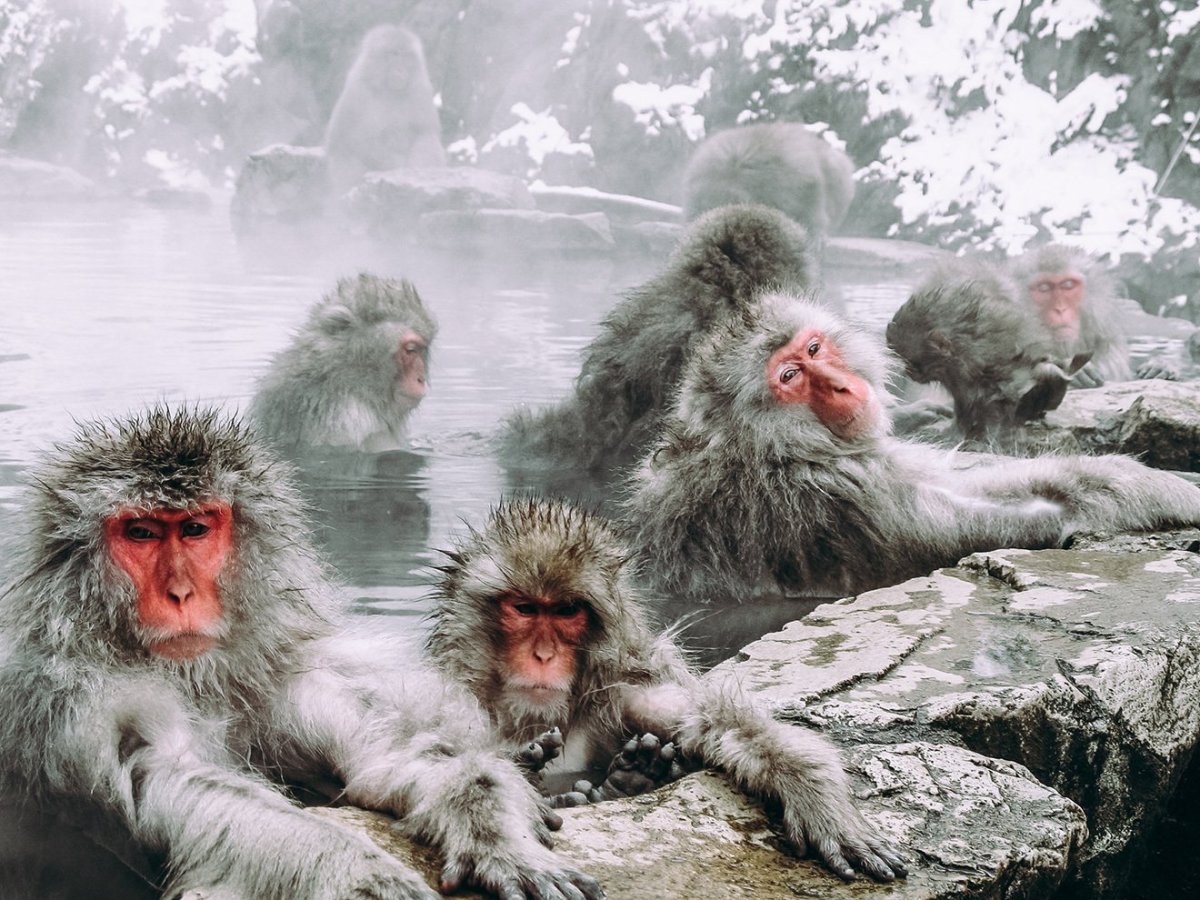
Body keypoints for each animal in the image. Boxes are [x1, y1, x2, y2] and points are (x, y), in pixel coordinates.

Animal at [0, 405, 603, 900]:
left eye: (194, 529)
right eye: (142, 533)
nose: (180, 594)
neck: (200, 676)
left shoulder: (285, 677)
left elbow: (388, 756)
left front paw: (497, 836)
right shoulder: (75, 696)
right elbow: (168, 777)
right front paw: (359, 874)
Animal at [324, 24, 445, 191]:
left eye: (406, 57)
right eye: (394, 54)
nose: (400, 69)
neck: (388, 91)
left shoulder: (420, 91)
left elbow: (426, 132)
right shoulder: (356, 93)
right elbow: (345, 138)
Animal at [425, 497, 908, 883]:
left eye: (566, 611)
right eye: (525, 609)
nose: (543, 655)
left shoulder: (626, 692)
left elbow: (713, 719)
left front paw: (813, 789)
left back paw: (632, 774)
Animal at [624, 292, 1200, 602]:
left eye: (815, 349)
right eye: (789, 376)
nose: (840, 384)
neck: (764, 447)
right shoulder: (832, 492)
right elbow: (1042, 508)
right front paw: (1168, 488)